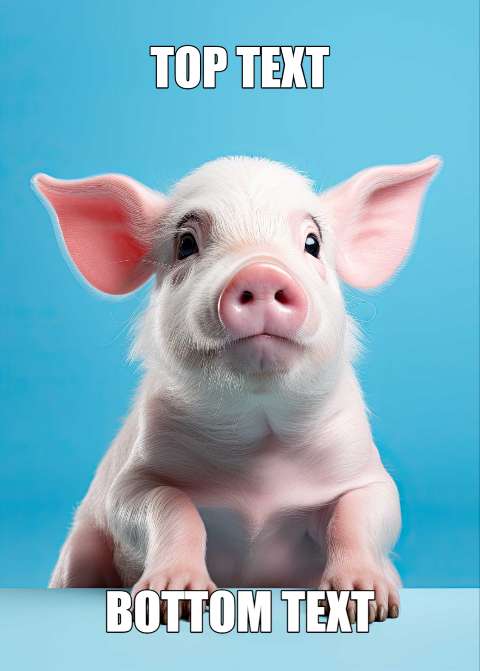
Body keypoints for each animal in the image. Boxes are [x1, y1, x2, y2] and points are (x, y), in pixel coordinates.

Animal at [33, 154, 441, 623]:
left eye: (312, 243)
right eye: (186, 244)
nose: (261, 271)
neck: (260, 446)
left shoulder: (365, 472)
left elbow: (360, 512)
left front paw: (366, 601)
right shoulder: (132, 480)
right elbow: (168, 506)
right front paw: (178, 597)